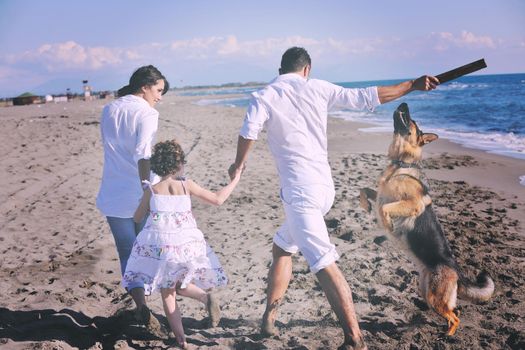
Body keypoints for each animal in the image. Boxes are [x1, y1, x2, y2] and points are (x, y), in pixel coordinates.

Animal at [358, 103, 494, 336]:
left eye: (413, 122)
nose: (403, 103)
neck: (401, 162)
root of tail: (455, 269)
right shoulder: (381, 194)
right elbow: (365, 191)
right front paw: (365, 205)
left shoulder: (412, 204)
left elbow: (385, 208)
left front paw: (388, 224)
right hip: (426, 292)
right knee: (454, 312)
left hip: (434, 296)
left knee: (455, 317)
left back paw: (447, 337)